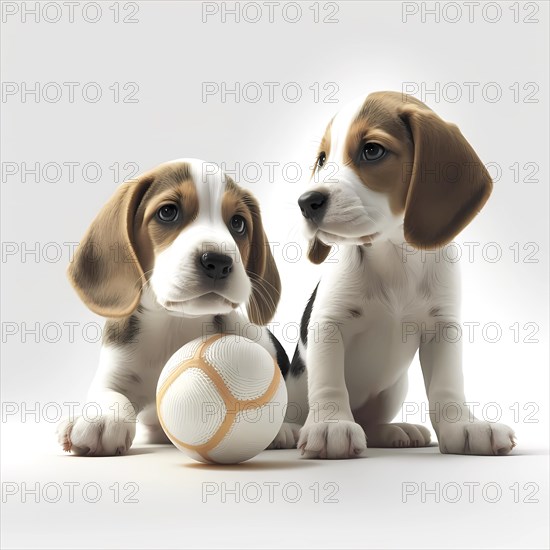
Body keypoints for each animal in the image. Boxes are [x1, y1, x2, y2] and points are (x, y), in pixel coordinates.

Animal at [58, 158, 294, 458]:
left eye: (238, 223)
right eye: (168, 212)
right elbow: (110, 393)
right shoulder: (115, 371)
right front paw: (101, 417)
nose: (218, 261)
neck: (175, 324)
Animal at [288, 94, 516, 462]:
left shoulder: (443, 327)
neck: (394, 254)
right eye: (322, 158)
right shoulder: (327, 323)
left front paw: (463, 428)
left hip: (394, 389)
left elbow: (447, 386)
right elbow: (329, 382)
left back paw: (395, 431)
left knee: (370, 425)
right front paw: (331, 424)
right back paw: (285, 431)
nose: (306, 202)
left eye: (372, 150)